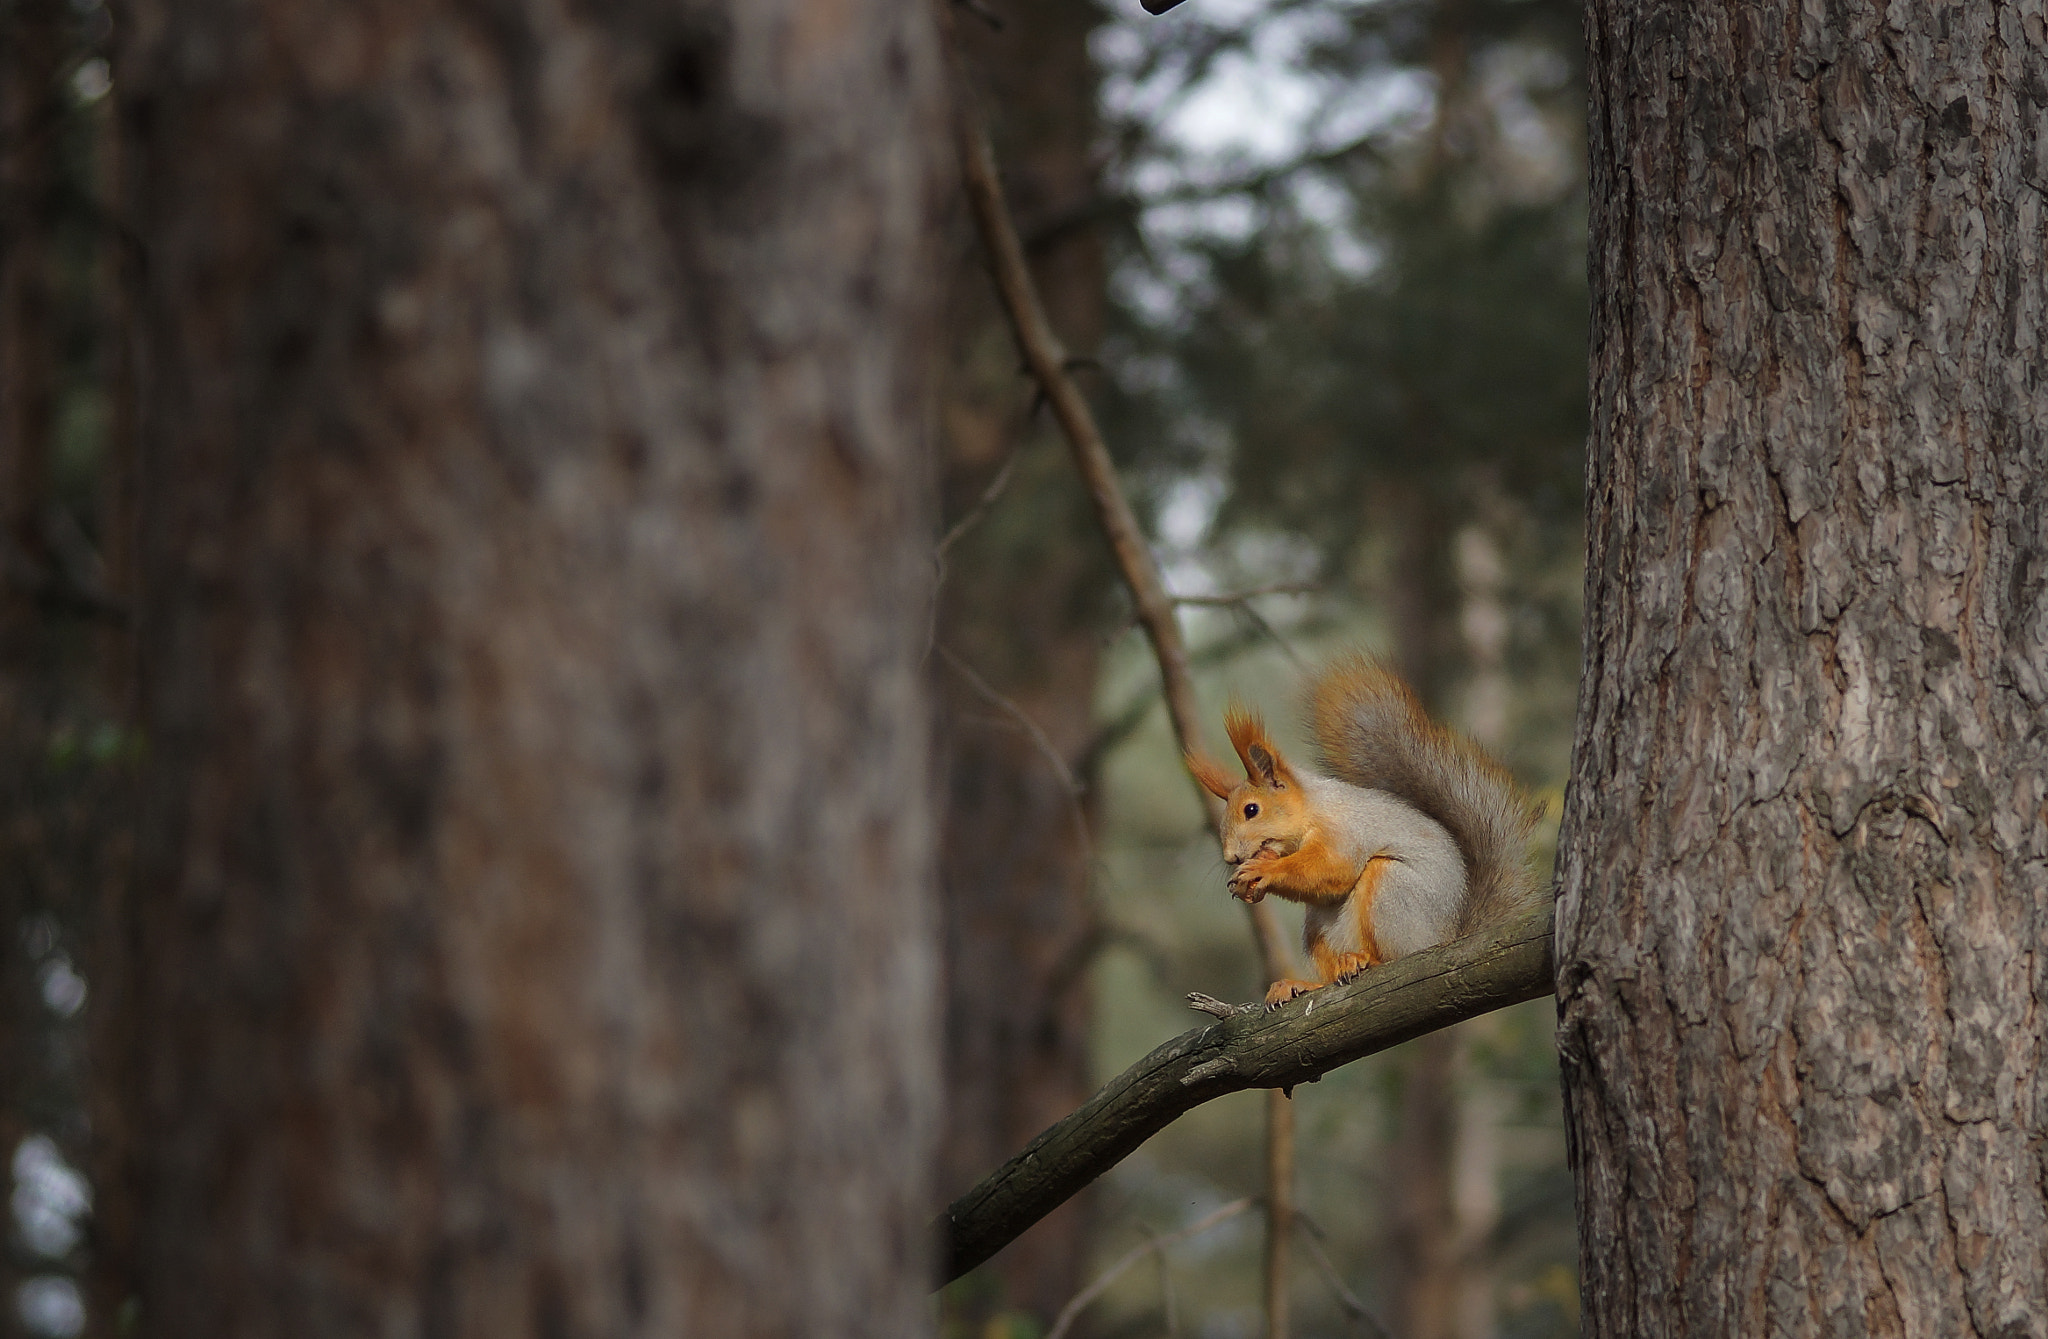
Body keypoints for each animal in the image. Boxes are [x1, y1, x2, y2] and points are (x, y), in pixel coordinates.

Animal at [1187, 655, 1540, 1011]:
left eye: (1251, 810)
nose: (1231, 856)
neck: (1311, 809)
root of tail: (1449, 936)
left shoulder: (1344, 831)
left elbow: (1332, 869)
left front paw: (1263, 869)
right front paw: (1249, 886)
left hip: (1395, 893)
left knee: (1396, 955)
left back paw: (1366, 961)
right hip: (1316, 929)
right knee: (1330, 977)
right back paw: (1302, 984)